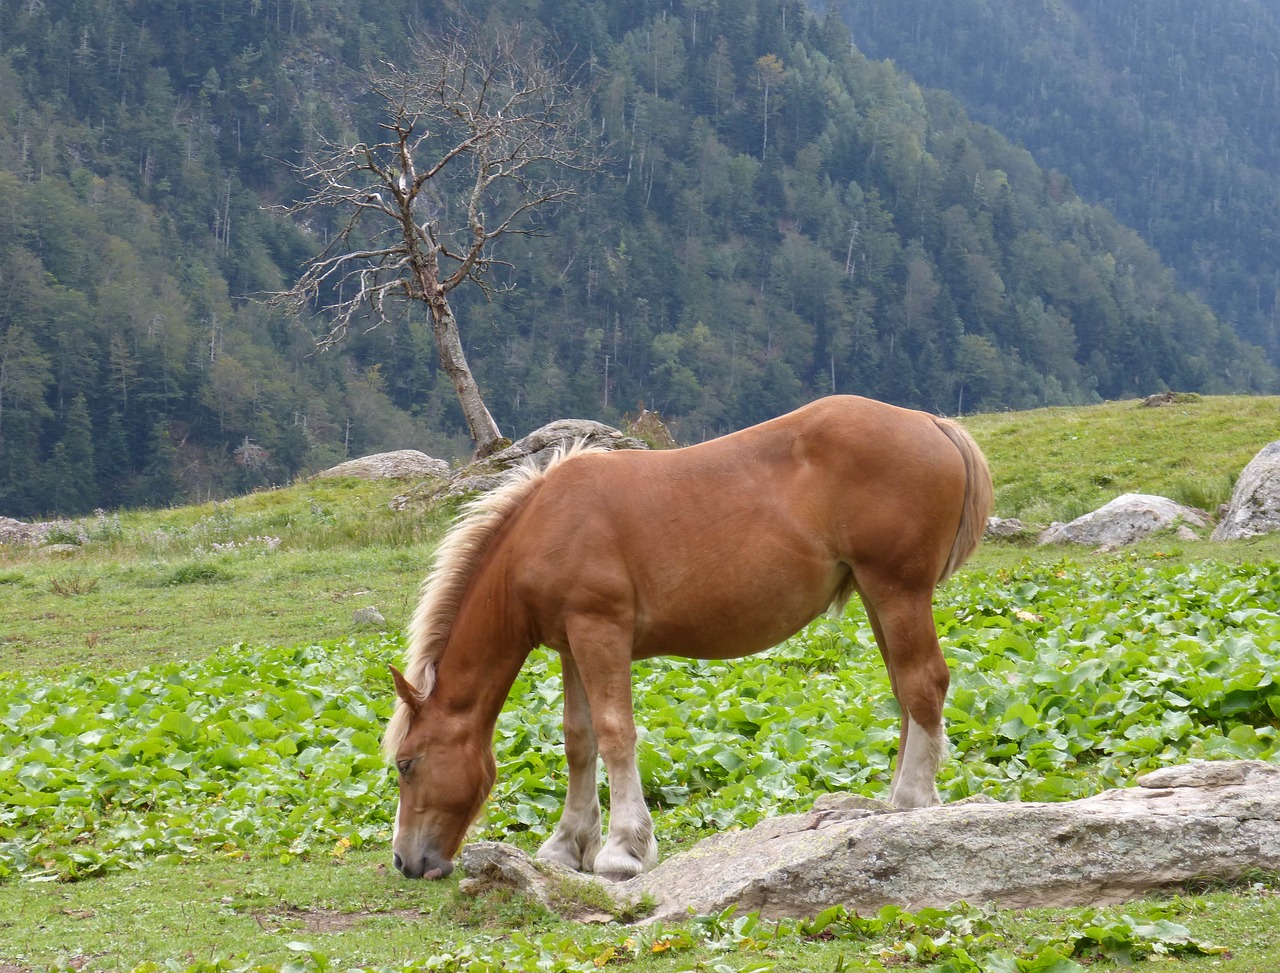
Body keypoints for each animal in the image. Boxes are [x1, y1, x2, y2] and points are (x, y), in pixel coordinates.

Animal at [384, 394, 993, 880]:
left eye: (406, 764)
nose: (405, 861)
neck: (544, 527)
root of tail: (932, 424)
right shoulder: (572, 645)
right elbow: (580, 740)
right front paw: (568, 845)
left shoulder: (600, 631)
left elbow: (615, 734)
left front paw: (622, 850)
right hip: (875, 595)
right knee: (905, 692)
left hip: (897, 590)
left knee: (924, 683)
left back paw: (912, 802)